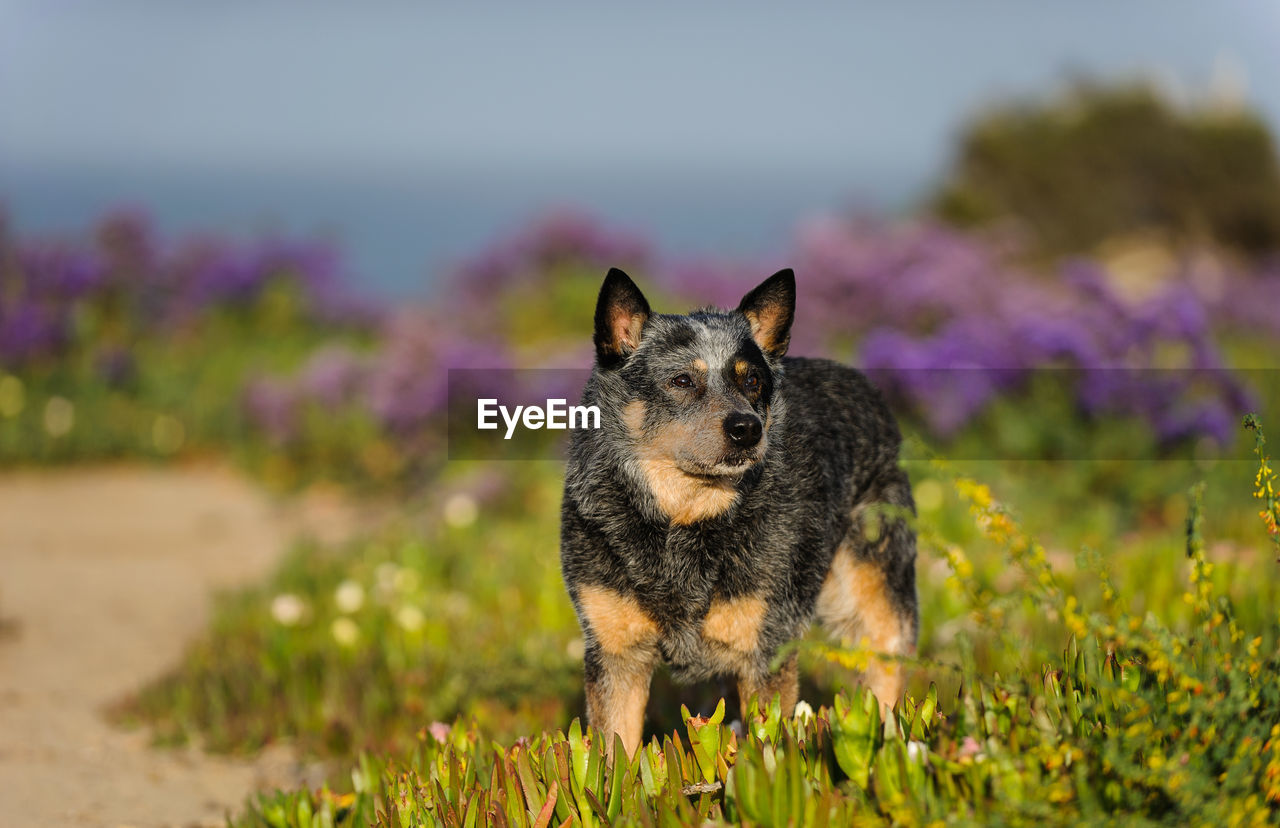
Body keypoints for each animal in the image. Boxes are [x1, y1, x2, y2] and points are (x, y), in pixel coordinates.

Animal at [563, 268, 921, 752]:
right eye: (681, 381)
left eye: (751, 381)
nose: (747, 428)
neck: (683, 520)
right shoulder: (616, 655)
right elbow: (617, 754)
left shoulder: (766, 647)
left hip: (876, 600)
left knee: (884, 675)